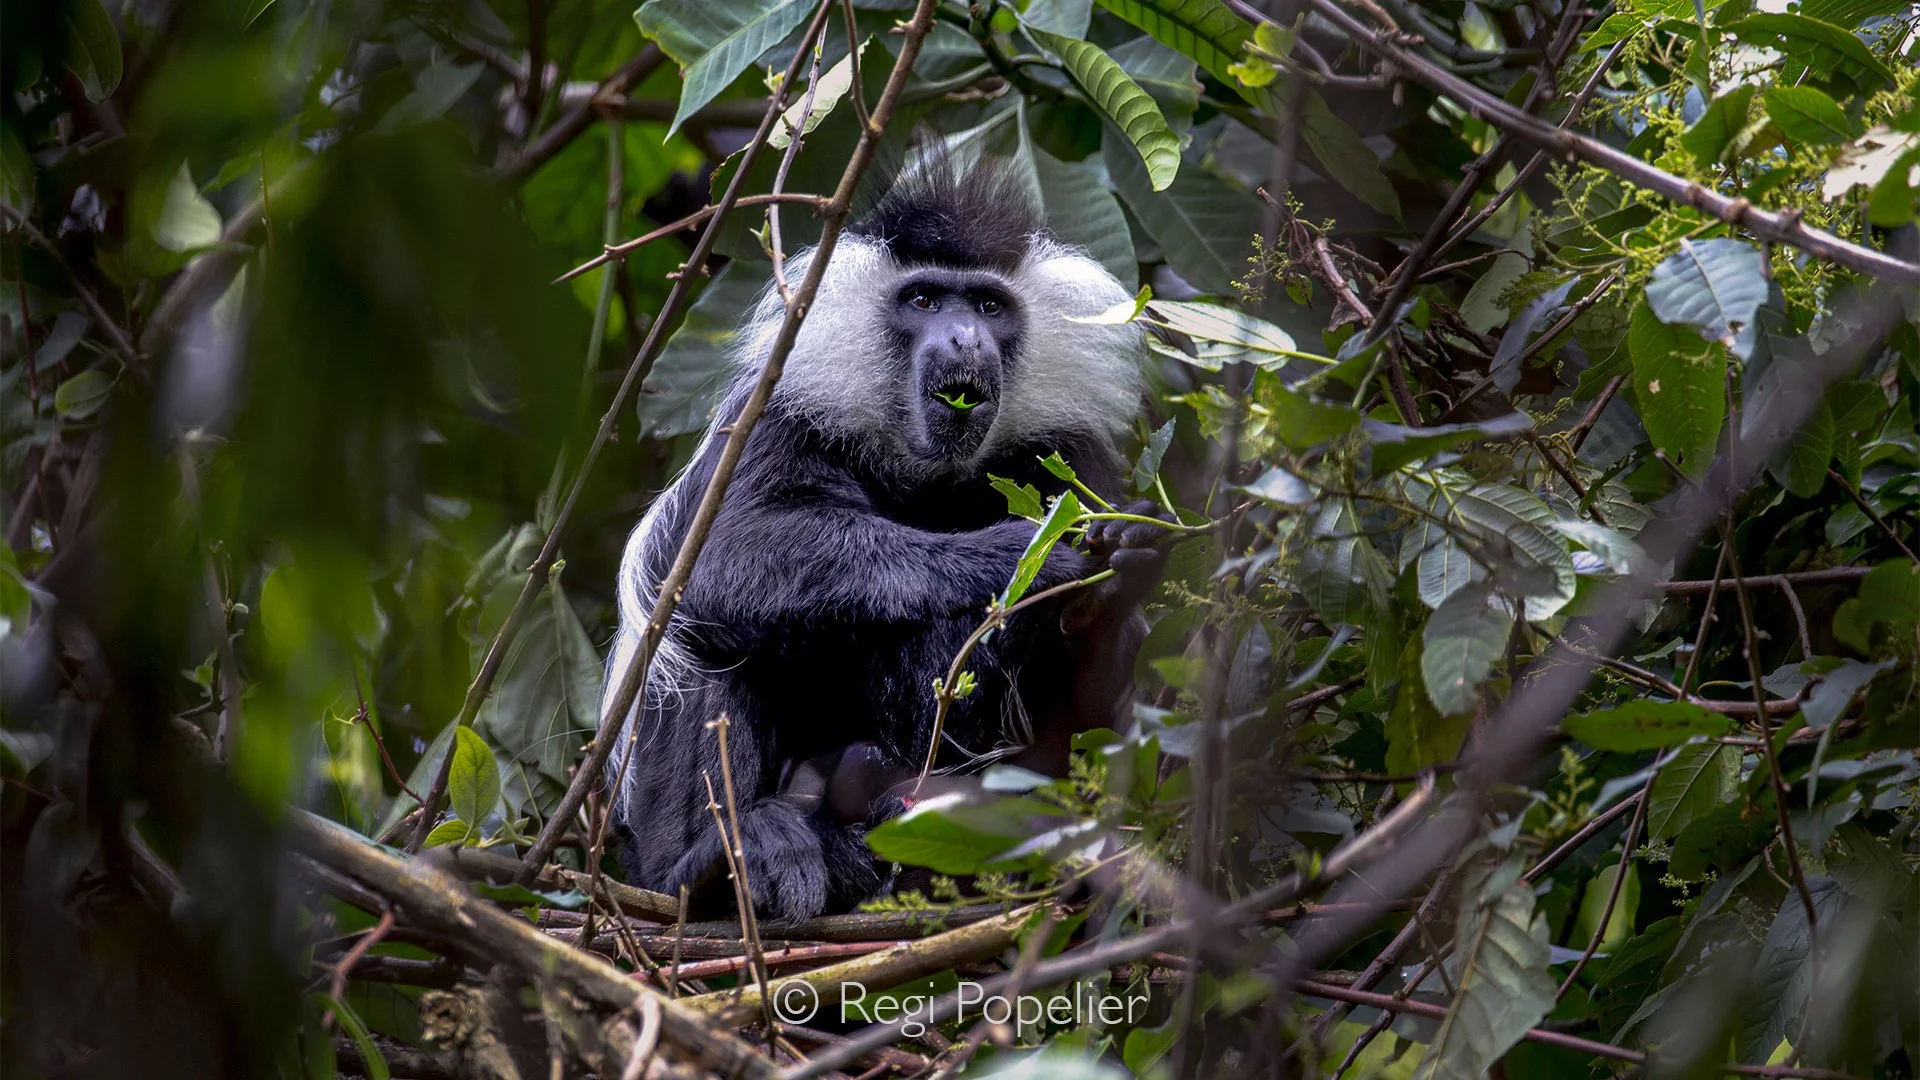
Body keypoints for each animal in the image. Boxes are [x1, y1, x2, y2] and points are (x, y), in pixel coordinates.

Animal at [601, 154, 1172, 924]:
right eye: (925, 300)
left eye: (987, 307)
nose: (964, 339)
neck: (925, 471)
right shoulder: (778, 416)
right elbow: (725, 551)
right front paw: (1022, 554)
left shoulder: (1071, 457)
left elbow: (962, 710)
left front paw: (1114, 577)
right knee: (704, 641)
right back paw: (713, 866)